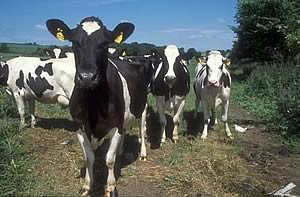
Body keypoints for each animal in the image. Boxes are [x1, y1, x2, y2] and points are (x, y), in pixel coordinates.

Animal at [46, 16, 149, 196]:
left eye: (104, 44)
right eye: (75, 42)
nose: (87, 77)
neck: (93, 107)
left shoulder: (115, 125)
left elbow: (109, 160)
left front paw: (111, 187)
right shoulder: (80, 127)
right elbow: (89, 158)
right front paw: (87, 186)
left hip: (142, 108)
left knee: (142, 131)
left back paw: (142, 153)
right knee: (125, 132)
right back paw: (121, 151)